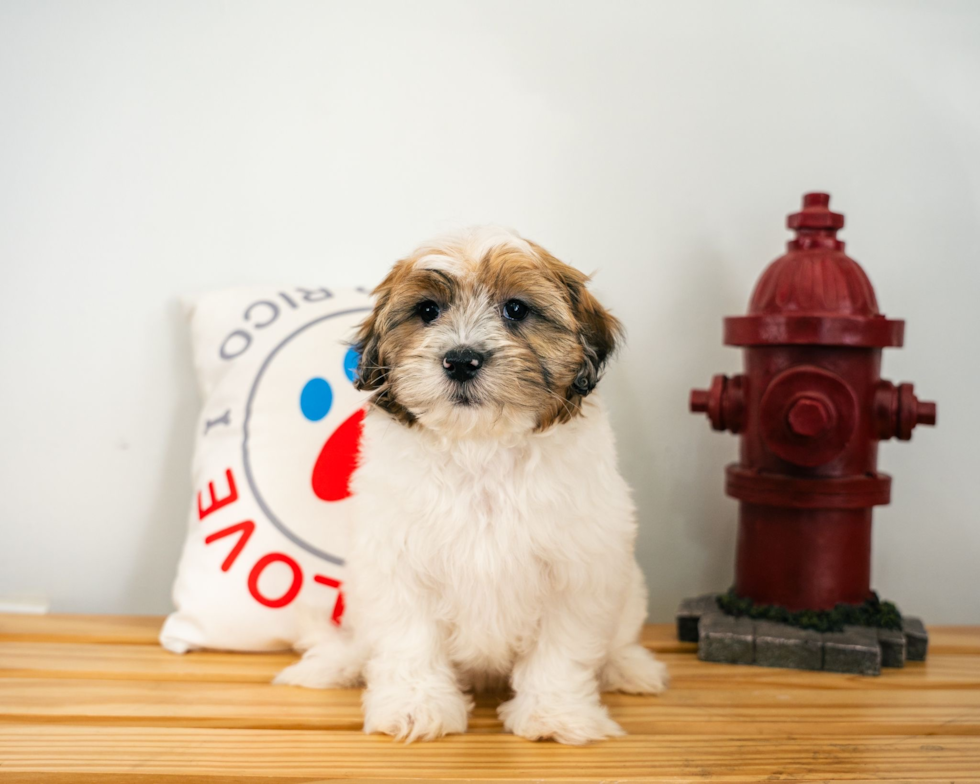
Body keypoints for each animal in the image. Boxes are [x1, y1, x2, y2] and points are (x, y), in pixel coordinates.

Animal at [280, 228, 668, 748]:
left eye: (516, 309)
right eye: (427, 310)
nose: (462, 360)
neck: (480, 447)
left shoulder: (579, 569)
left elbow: (562, 651)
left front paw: (554, 714)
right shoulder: (396, 563)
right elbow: (408, 640)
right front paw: (415, 707)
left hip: (630, 591)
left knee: (620, 639)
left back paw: (630, 667)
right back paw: (339, 662)